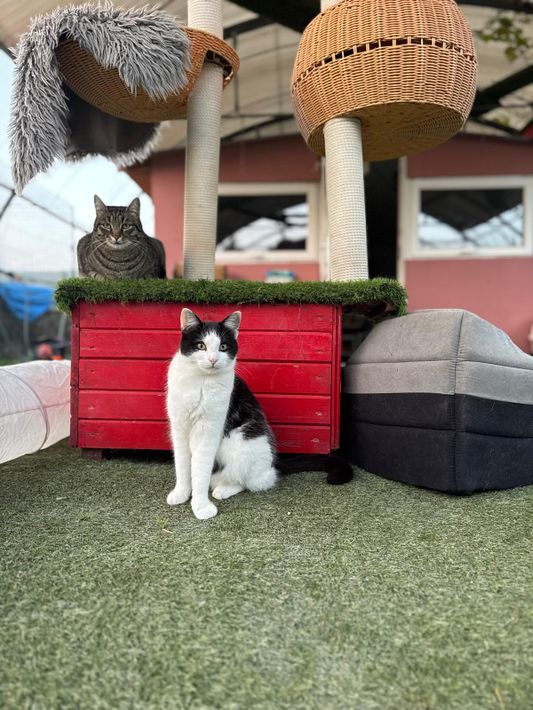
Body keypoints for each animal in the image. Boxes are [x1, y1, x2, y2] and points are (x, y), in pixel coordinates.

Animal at [166, 308, 353, 520]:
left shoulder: (208, 431)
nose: (213, 359)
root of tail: (273, 463)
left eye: (223, 346)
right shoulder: (179, 427)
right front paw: (181, 493)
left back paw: (224, 489)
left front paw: (201, 506)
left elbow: (200, 468)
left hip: (243, 446)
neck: (200, 381)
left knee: (253, 481)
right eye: (200, 345)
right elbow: (182, 463)